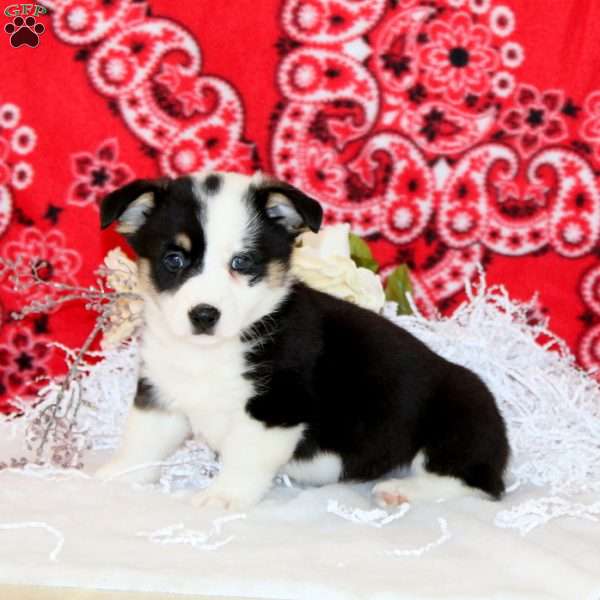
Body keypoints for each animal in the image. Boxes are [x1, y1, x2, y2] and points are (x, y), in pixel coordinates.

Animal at [96, 172, 508, 510]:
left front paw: (222, 496)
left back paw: (403, 490)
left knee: (476, 483)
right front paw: (113, 475)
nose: (204, 314)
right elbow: (141, 442)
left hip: (460, 411)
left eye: (242, 262)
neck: (212, 352)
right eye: (174, 259)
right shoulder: (161, 393)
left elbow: (244, 457)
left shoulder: (275, 409)